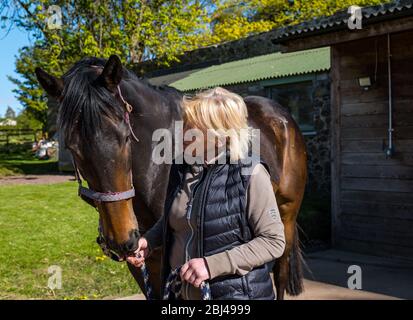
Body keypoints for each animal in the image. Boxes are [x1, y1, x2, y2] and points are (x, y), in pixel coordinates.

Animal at [35, 55, 306, 300]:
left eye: (125, 137)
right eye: (72, 147)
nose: (122, 240)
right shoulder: (143, 260)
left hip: (286, 215)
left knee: (280, 272)